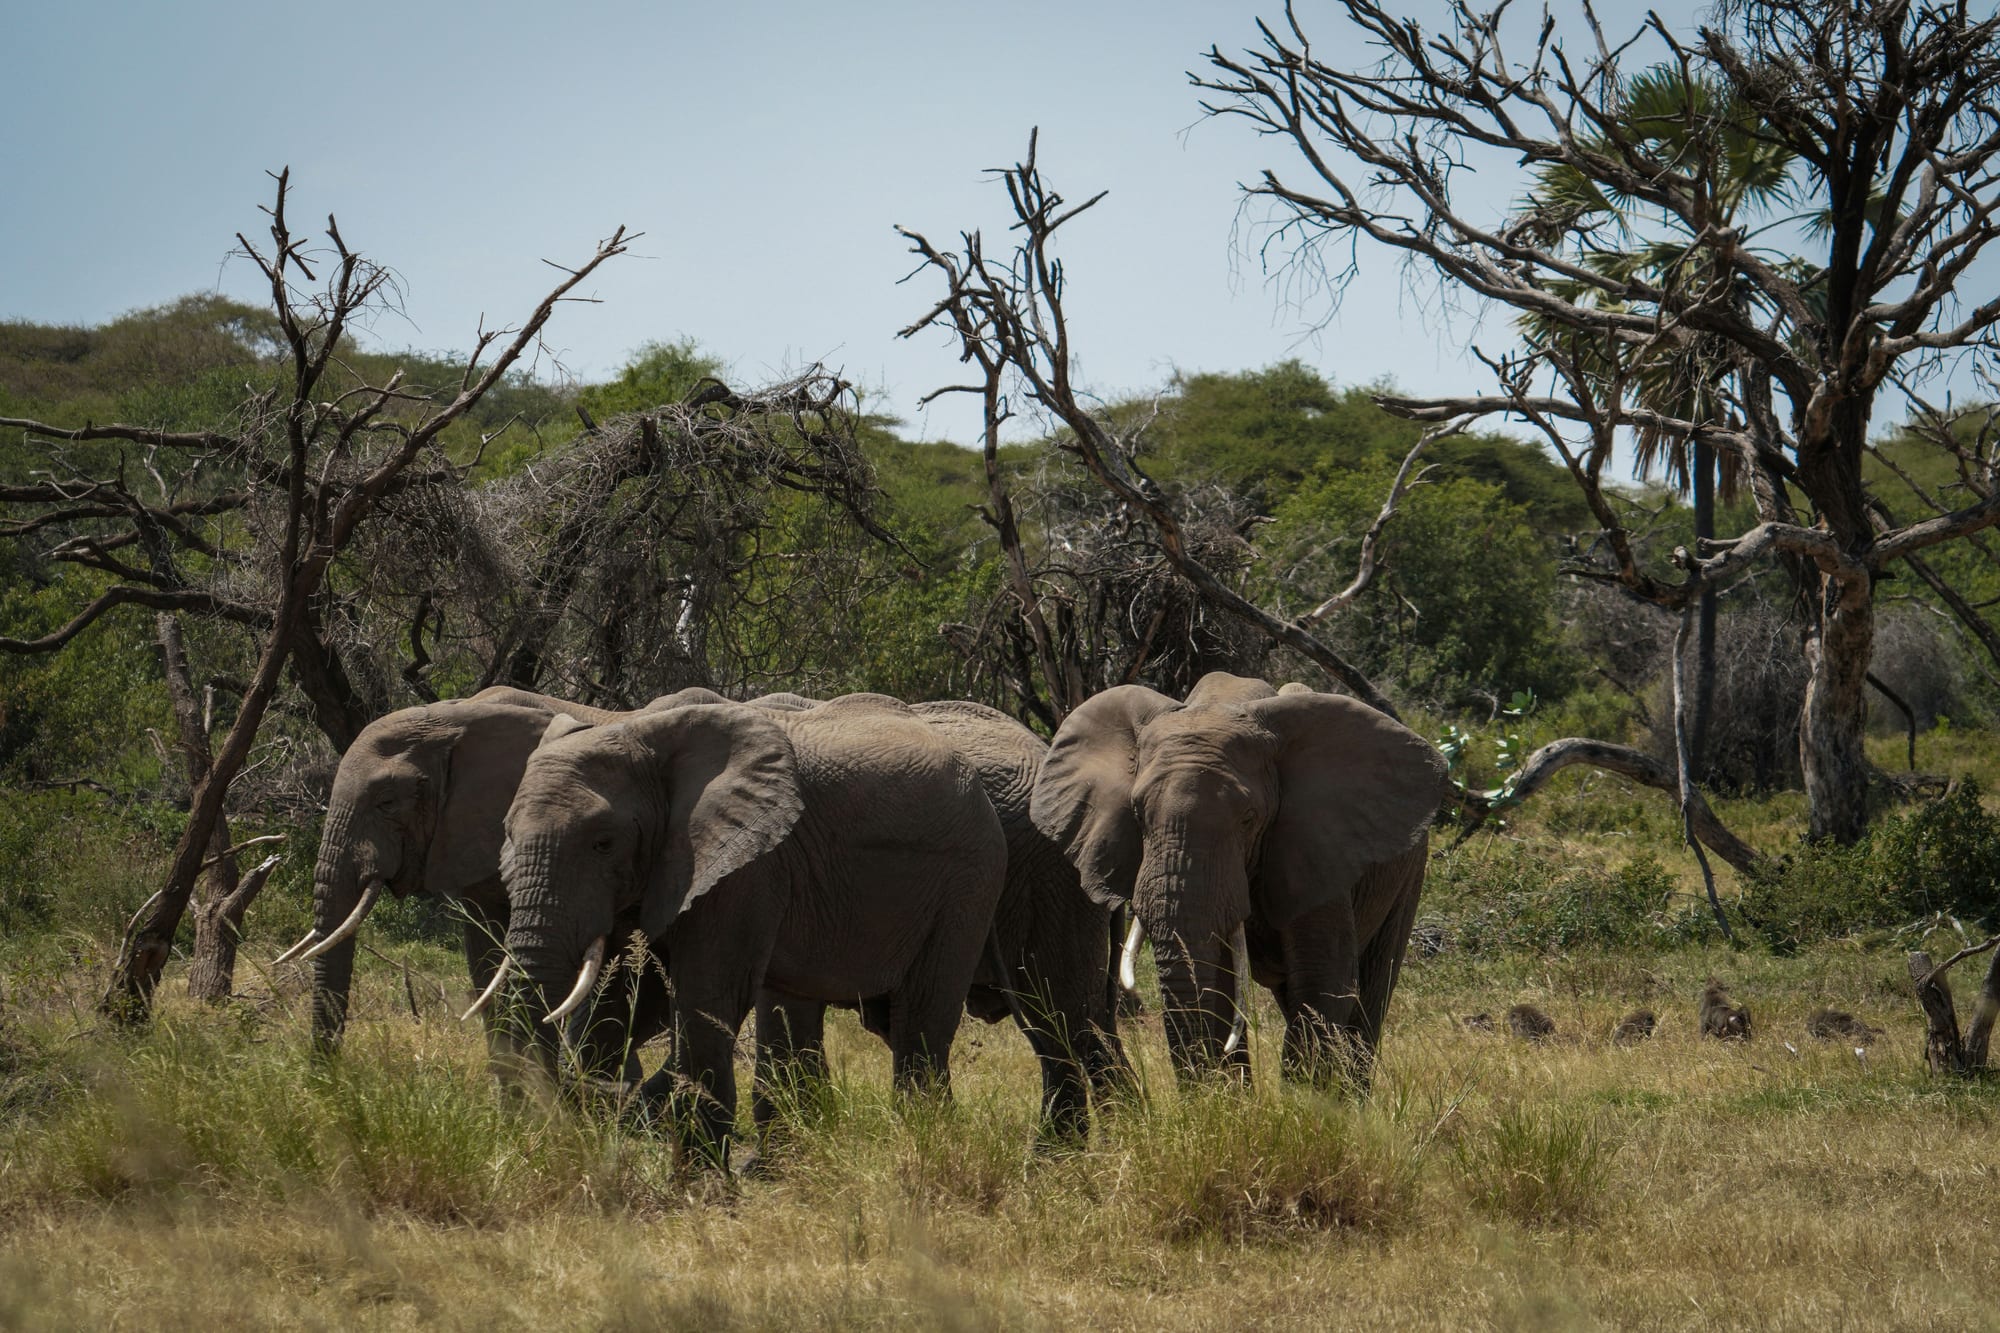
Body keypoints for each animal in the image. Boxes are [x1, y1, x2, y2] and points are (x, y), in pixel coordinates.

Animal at [499, 693, 1007, 1163]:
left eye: (603, 843)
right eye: (507, 833)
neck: (639, 730)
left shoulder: (746, 867)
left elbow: (707, 999)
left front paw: (700, 1183)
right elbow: (627, 996)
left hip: (968, 882)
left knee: (920, 1021)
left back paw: (925, 1141)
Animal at [1029, 672, 1450, 1087]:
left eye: (1249, 818)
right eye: (1136, 813)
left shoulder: (1315, 843)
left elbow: (1321, 981)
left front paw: (1307, 1103)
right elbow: (1218, 986)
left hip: (1409, 868)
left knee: (1372, 990)